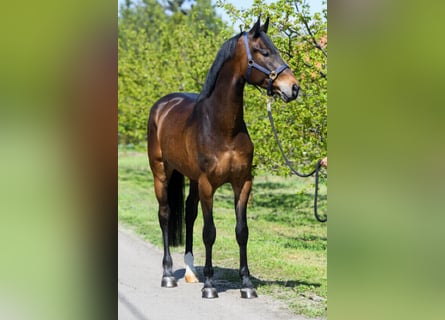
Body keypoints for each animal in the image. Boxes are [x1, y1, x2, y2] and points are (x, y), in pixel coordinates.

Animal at [148, 16, 298, 298]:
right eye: (263, 52)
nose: (293, 88)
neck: (222, 127)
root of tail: (162, 105)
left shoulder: (242, 183)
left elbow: (242, 231)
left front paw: (246, 284)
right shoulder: (209, 185)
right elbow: (210, 232)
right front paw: (210, 286)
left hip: (192, 179)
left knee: (188, 213)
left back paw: (190, 272)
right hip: (161, 172)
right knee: (165, 215)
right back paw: (168, 274)